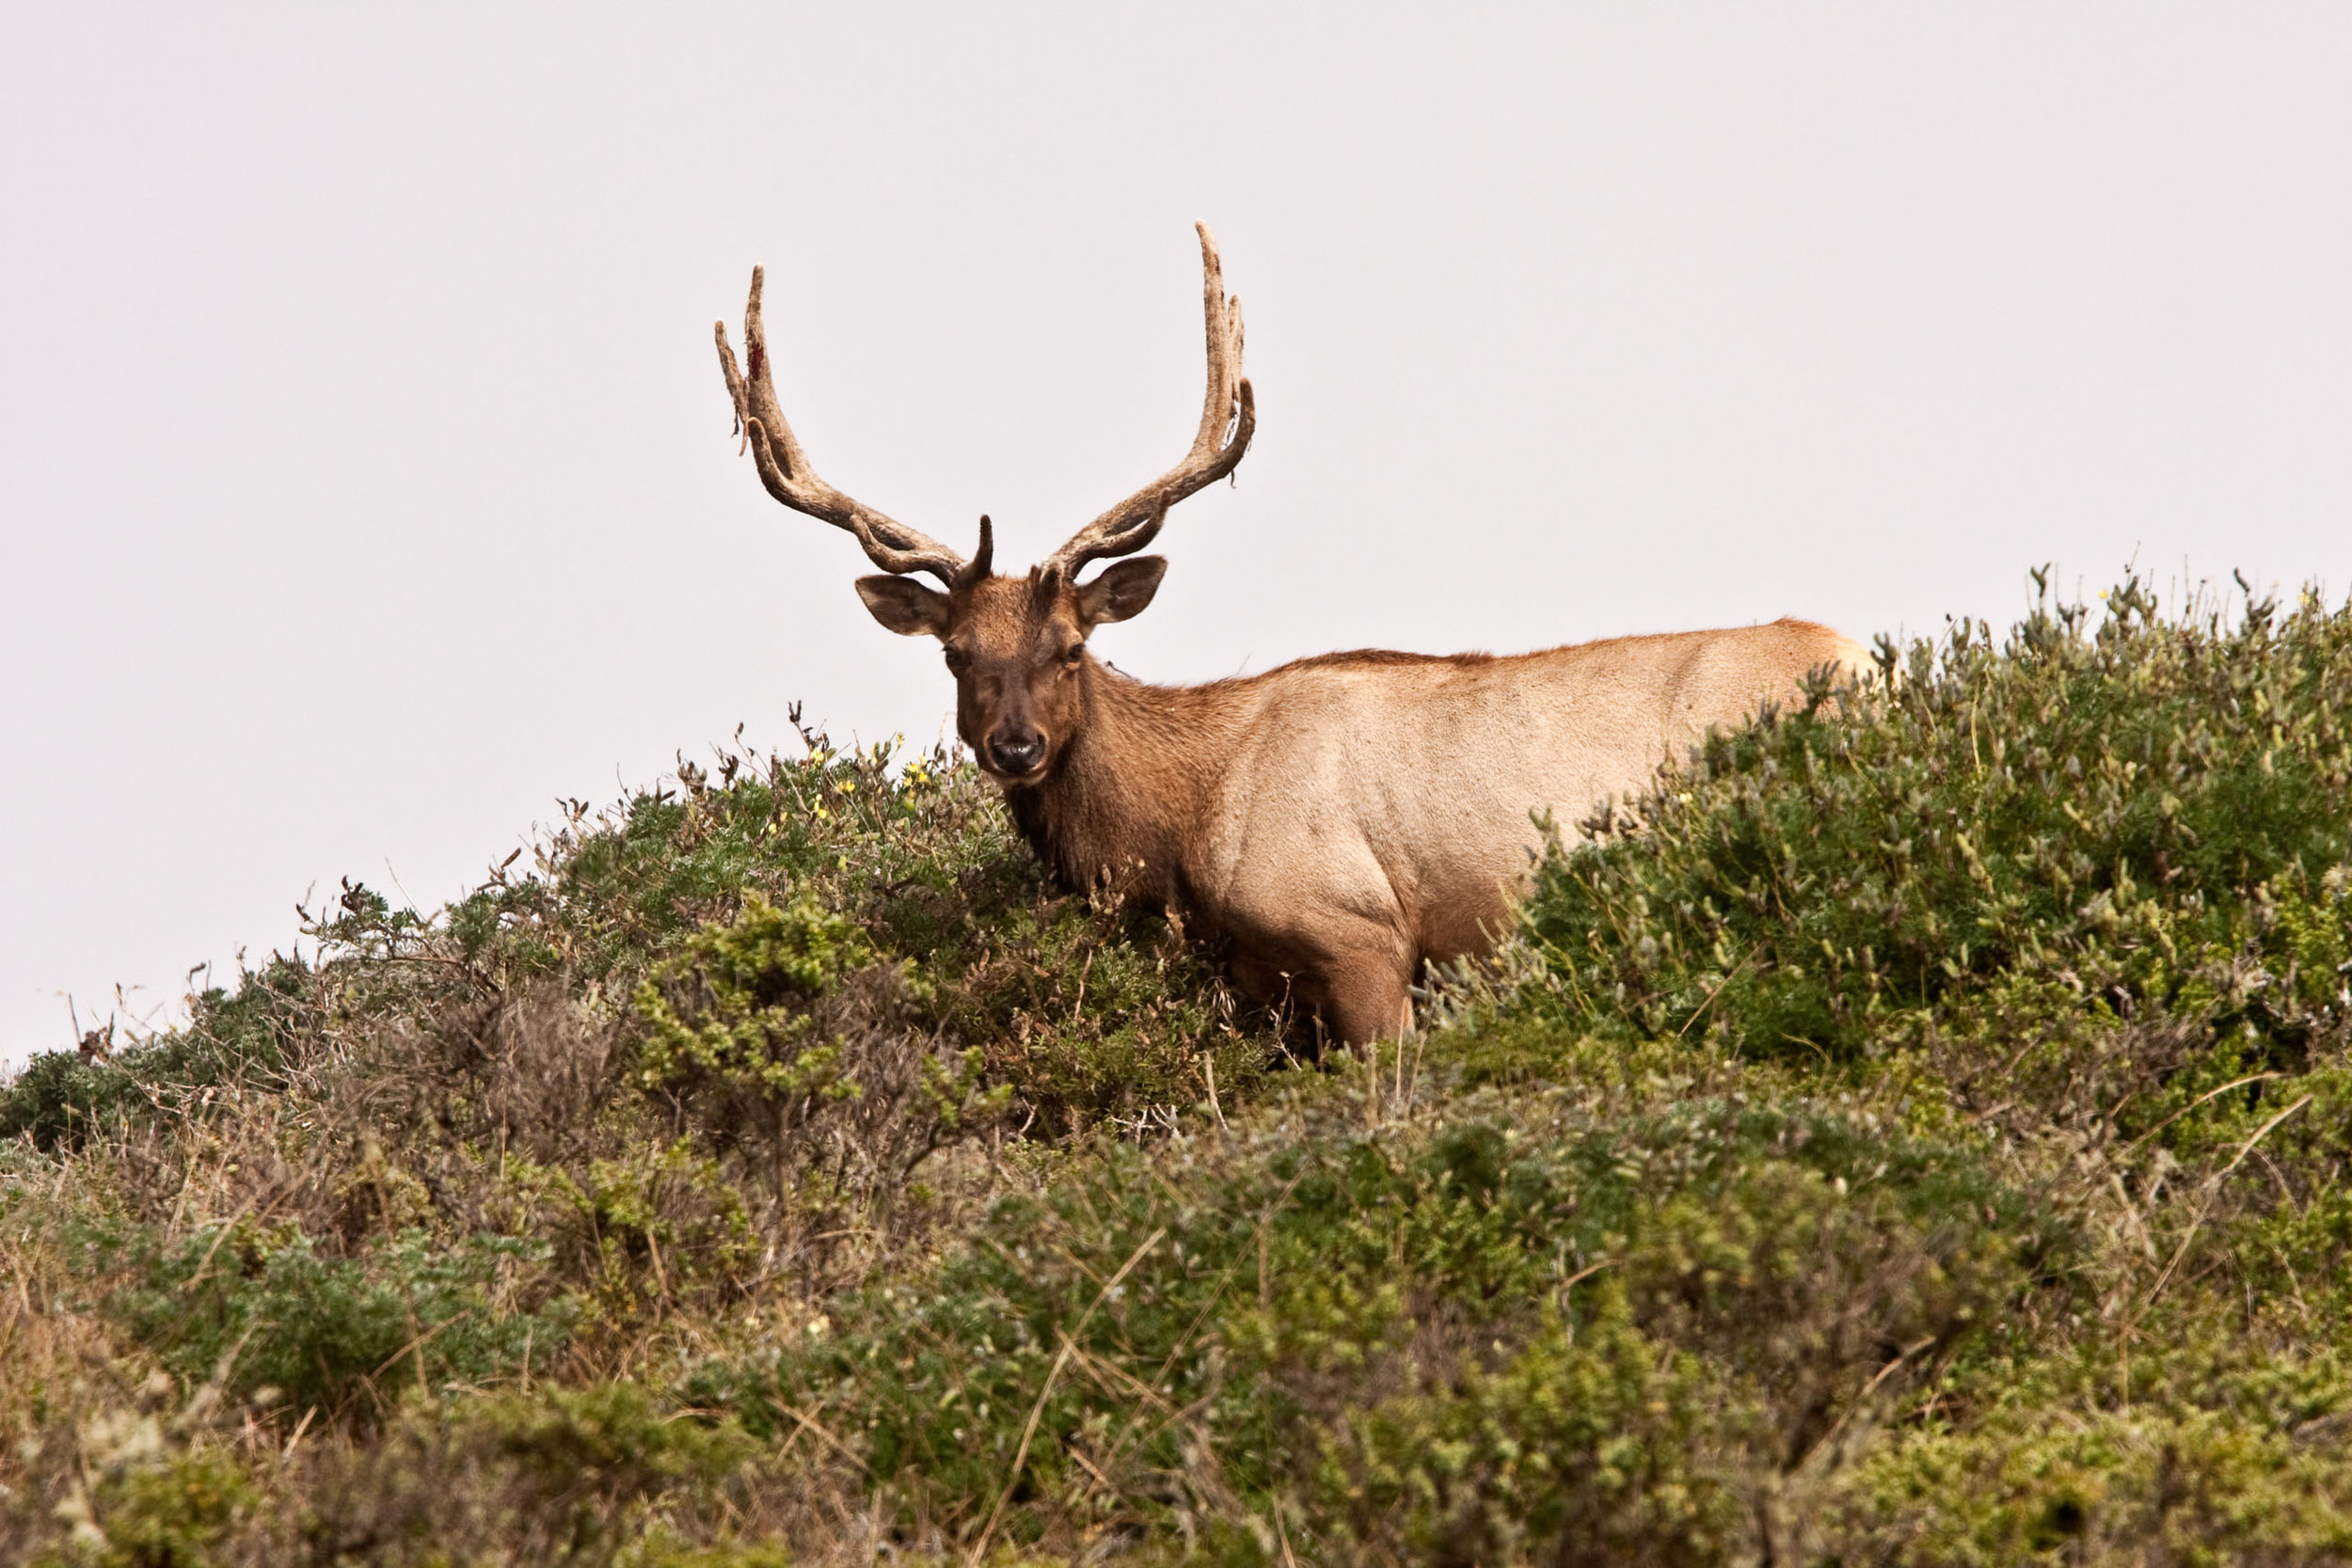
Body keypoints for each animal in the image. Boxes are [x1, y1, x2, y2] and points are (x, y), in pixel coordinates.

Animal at [706, 223, 1863, 1043]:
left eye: (1071, 648)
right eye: (956, 657)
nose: (1017, 745)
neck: (1185, 840)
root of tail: (1871, 667)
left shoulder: (1361, 933)